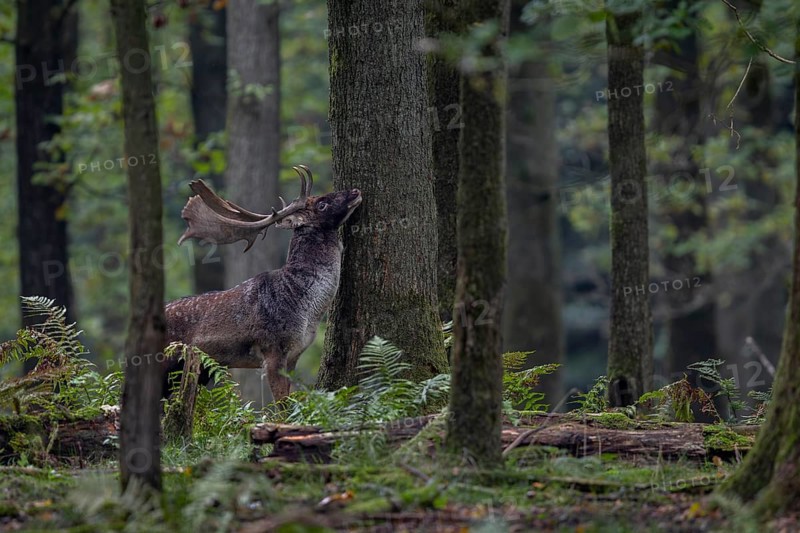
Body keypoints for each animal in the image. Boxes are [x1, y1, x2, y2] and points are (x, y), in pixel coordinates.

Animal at [163, 165, 362, 401]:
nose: (355, 191)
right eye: (322, 204)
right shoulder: (273, 352)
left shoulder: (294, 356)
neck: (306, 309)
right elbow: (281, 405)